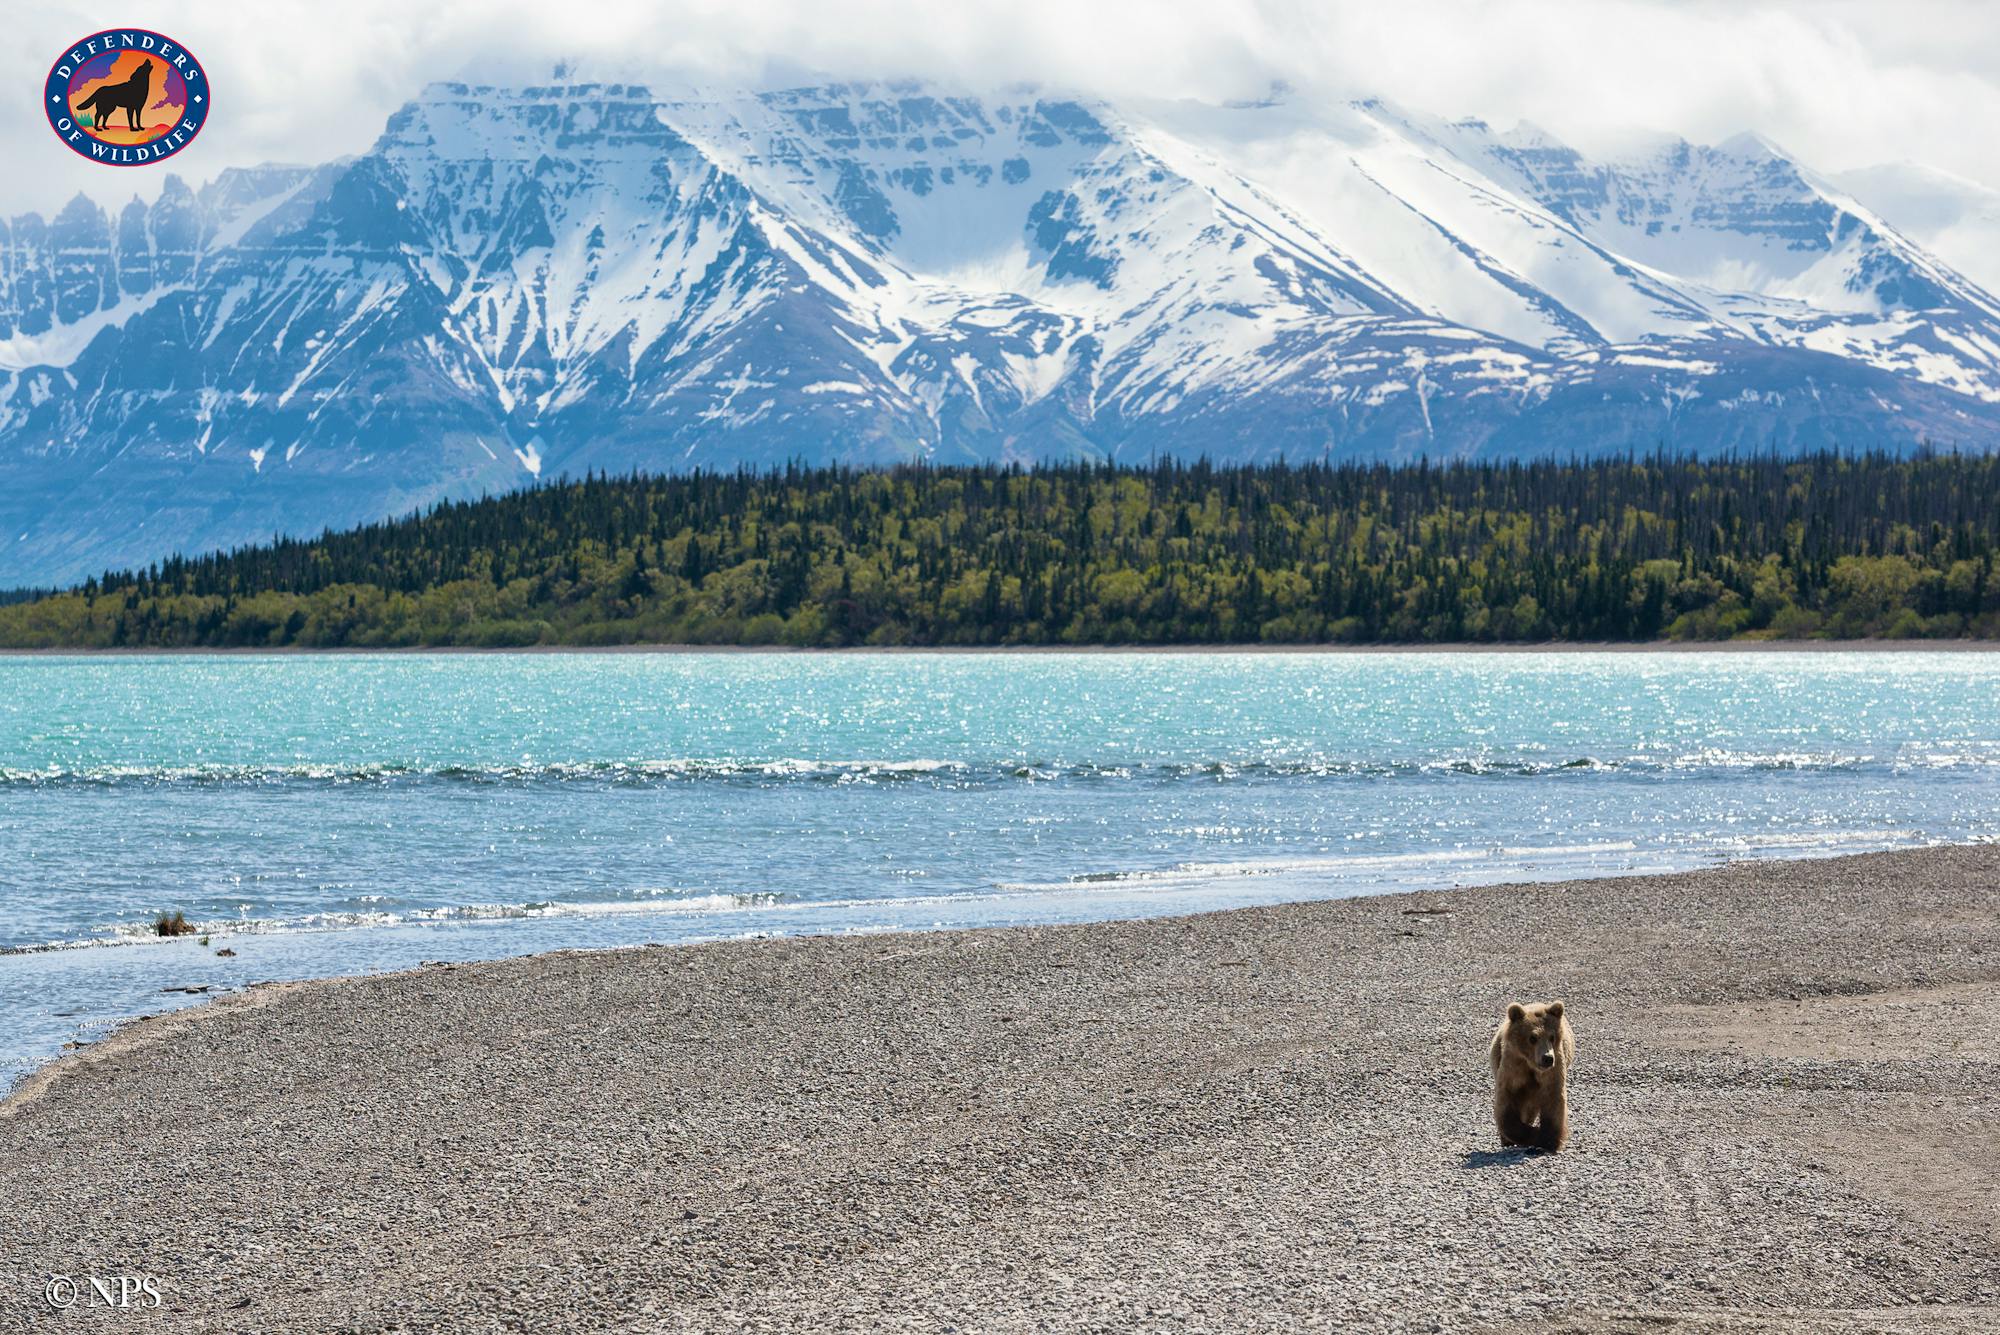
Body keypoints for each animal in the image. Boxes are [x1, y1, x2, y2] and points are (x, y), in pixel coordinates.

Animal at [1489, 999, 1575, 1151]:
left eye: (1552, 1037)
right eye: (1533, 1037)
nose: (1547, 1058)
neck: (1531, 1064)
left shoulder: (1552, 1072)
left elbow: (1554, 1101)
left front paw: (1549, 1139)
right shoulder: (1513, 1067)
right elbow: (1506, 1107)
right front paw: (1531, 1135)